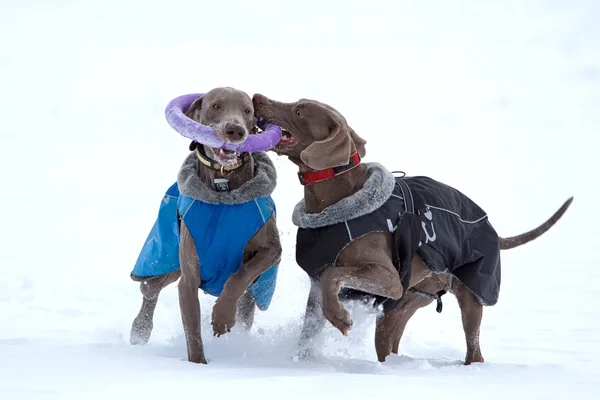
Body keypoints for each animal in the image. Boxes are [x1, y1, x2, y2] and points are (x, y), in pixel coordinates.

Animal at [129, 87, 282, 362]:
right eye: (216, 106)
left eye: (247, 111)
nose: (235, 130)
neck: (223, 188)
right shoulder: (189, 276)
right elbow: (192, 330)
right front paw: (198, 364)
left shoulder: (271, 249)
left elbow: (240, 275)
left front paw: (222, 316)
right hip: (168, 261)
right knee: (149, 287)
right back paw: (140, 330)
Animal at [252, 93, 572, 362]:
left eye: (299, 110)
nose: (257, 97)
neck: (336, 197)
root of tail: (494, 231)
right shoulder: (319, 283)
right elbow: (311, 322)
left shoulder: (386, 278)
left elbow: (335, 274)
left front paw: (340, 317)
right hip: (405, 301)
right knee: (389, 344)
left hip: (469, 294)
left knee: (475, 349)